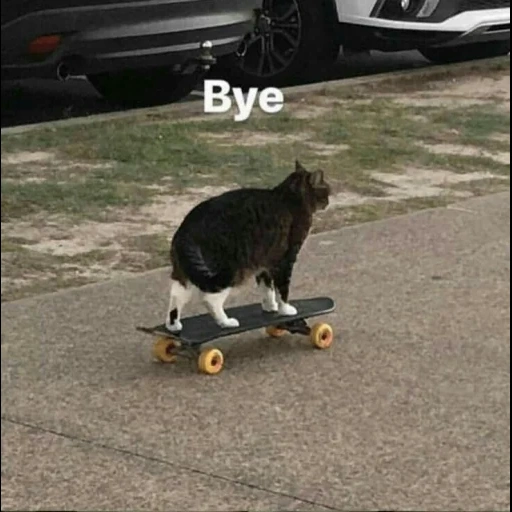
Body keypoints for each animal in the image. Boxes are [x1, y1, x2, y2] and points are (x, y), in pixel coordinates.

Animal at [165, 162, 332, 334]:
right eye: (327, 190)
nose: (328, 202)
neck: (290, 197)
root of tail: (186, 229)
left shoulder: (265, 262)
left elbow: (267, 289)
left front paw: (270, 307)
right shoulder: (285, 260)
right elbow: (282, 289)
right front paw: (285, 310)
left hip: (187, 272)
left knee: (176, 295)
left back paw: (173, 326)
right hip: (229, 270)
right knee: (210, 299)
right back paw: (226, 322)